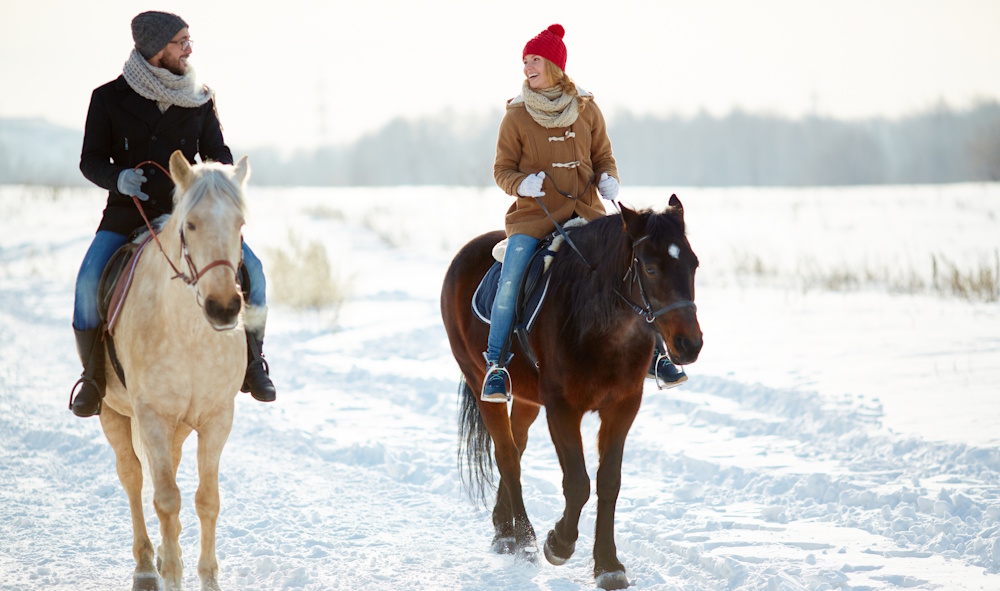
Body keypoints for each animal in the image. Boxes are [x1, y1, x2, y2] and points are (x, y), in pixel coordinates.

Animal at [99, 150, 250, 588]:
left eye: (240, 224)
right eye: (191, 224)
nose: (224, 308)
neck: (190, 335)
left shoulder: (217, 419)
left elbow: (206, 500)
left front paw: (207, 576)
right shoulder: (151, 416)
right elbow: (165, 498)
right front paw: (170, 574)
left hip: (179, 427)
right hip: (112, 412)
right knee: (132, 477)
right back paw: (147, 564)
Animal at [442, 197, 708, 588]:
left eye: (693, 264)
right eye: (650, 268)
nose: (690, 345)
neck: (599, 324)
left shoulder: (623, 407)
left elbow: (608, 482)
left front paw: (608, 565)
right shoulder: (562, 409)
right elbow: (579, 482)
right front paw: (559, 544)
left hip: (527, 398)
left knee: (516, 448)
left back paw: (503, 530)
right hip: (479, 383)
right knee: (507, 455)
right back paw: (522, 539)